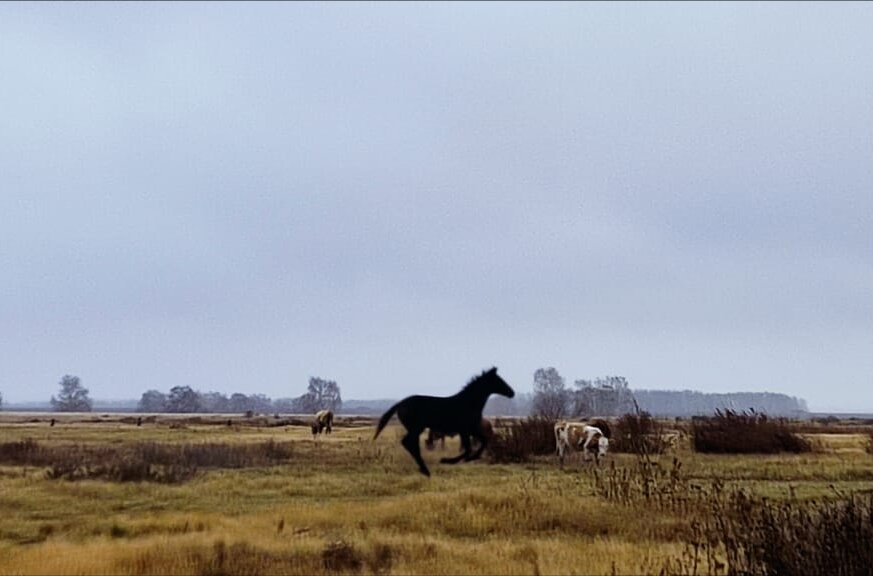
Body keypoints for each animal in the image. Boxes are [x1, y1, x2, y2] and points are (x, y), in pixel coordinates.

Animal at [372, 368, 510, 476]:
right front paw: (447, 460)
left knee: (410, 444)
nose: (511, 392)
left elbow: (480, 443)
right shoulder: (465, 430)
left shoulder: (469, 430)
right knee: (408, 443)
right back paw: (425, 470)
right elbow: (468, 448)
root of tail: (401, 403)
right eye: (499, 380)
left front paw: (469, 458)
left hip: (416, 428)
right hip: (416, 427)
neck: (468, 403)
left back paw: (424, 469)